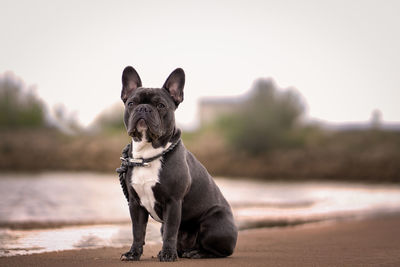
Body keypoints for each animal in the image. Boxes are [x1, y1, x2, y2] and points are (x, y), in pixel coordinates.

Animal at [119, 66, 238, 262]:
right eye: (131, 103)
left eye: (160, 105)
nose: (143, 108)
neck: (148, 154)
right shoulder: (136, 204)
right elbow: (137, 231)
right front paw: (133, 253)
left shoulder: (173, 202)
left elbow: (170, 231)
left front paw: (168, 254)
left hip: (213, 224)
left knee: (219, 251)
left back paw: (196, 253)